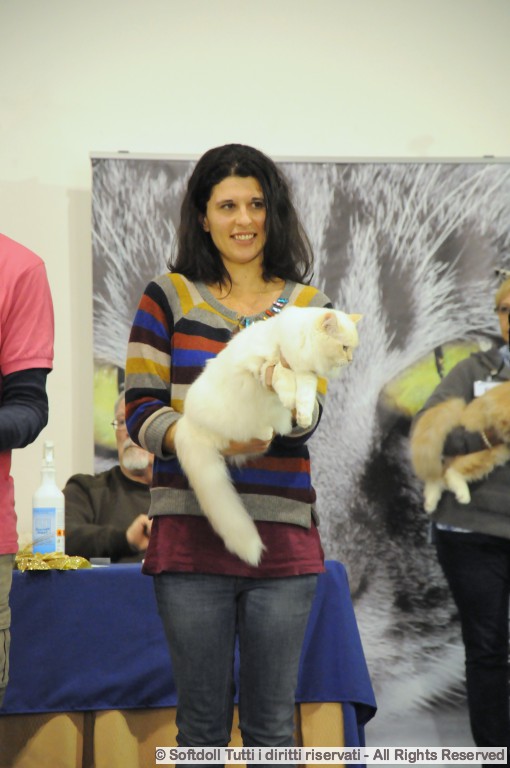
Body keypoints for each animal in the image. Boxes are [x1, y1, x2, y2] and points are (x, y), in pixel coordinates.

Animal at [173, 306, 361, 566]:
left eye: (351, 348)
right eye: (344, 347)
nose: (350, 359)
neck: (299, 343)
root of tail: (187, 423)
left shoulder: (306, 374)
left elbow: (305, 395)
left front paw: (302, 416)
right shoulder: (264, 364)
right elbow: (280, 375)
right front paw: (288, 398)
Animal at [410, 381, 510, 513]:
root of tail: (463, 412)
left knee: (440, 475)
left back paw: (430, 503)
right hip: (486, 453)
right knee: (450, 472)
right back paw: (463, 495)